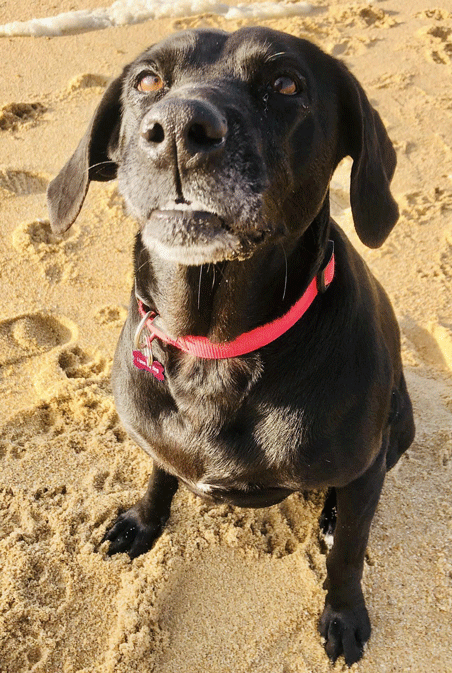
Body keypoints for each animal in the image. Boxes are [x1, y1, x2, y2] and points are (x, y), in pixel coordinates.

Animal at [47, 27, 414, 668]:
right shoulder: (159, 438)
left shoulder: (364, 466)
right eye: (147, 80)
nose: (177, 129)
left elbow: (348, 553)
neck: (212, 349)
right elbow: (159, 472)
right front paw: (141, 522)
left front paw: (344, 615)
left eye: (286, 84)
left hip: (400, 425)